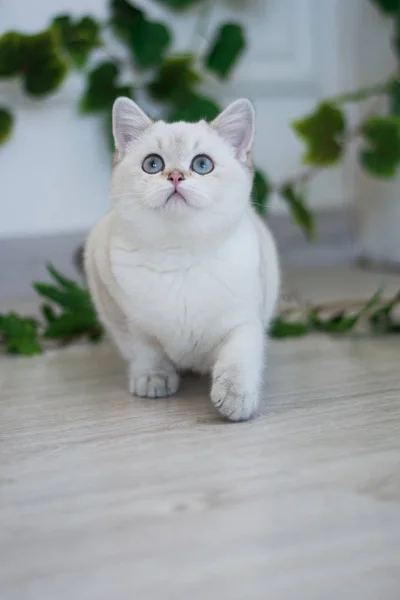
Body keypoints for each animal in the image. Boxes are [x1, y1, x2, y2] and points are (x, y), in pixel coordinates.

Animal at [85, 97, 278, 422]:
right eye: (153, 165)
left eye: (202, 165)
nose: (175, 176)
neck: (180, 254)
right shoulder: (122, 313)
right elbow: (144, 348)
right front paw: (153, 378)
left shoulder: (244, 318)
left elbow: (239, 356)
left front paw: (235, 397)